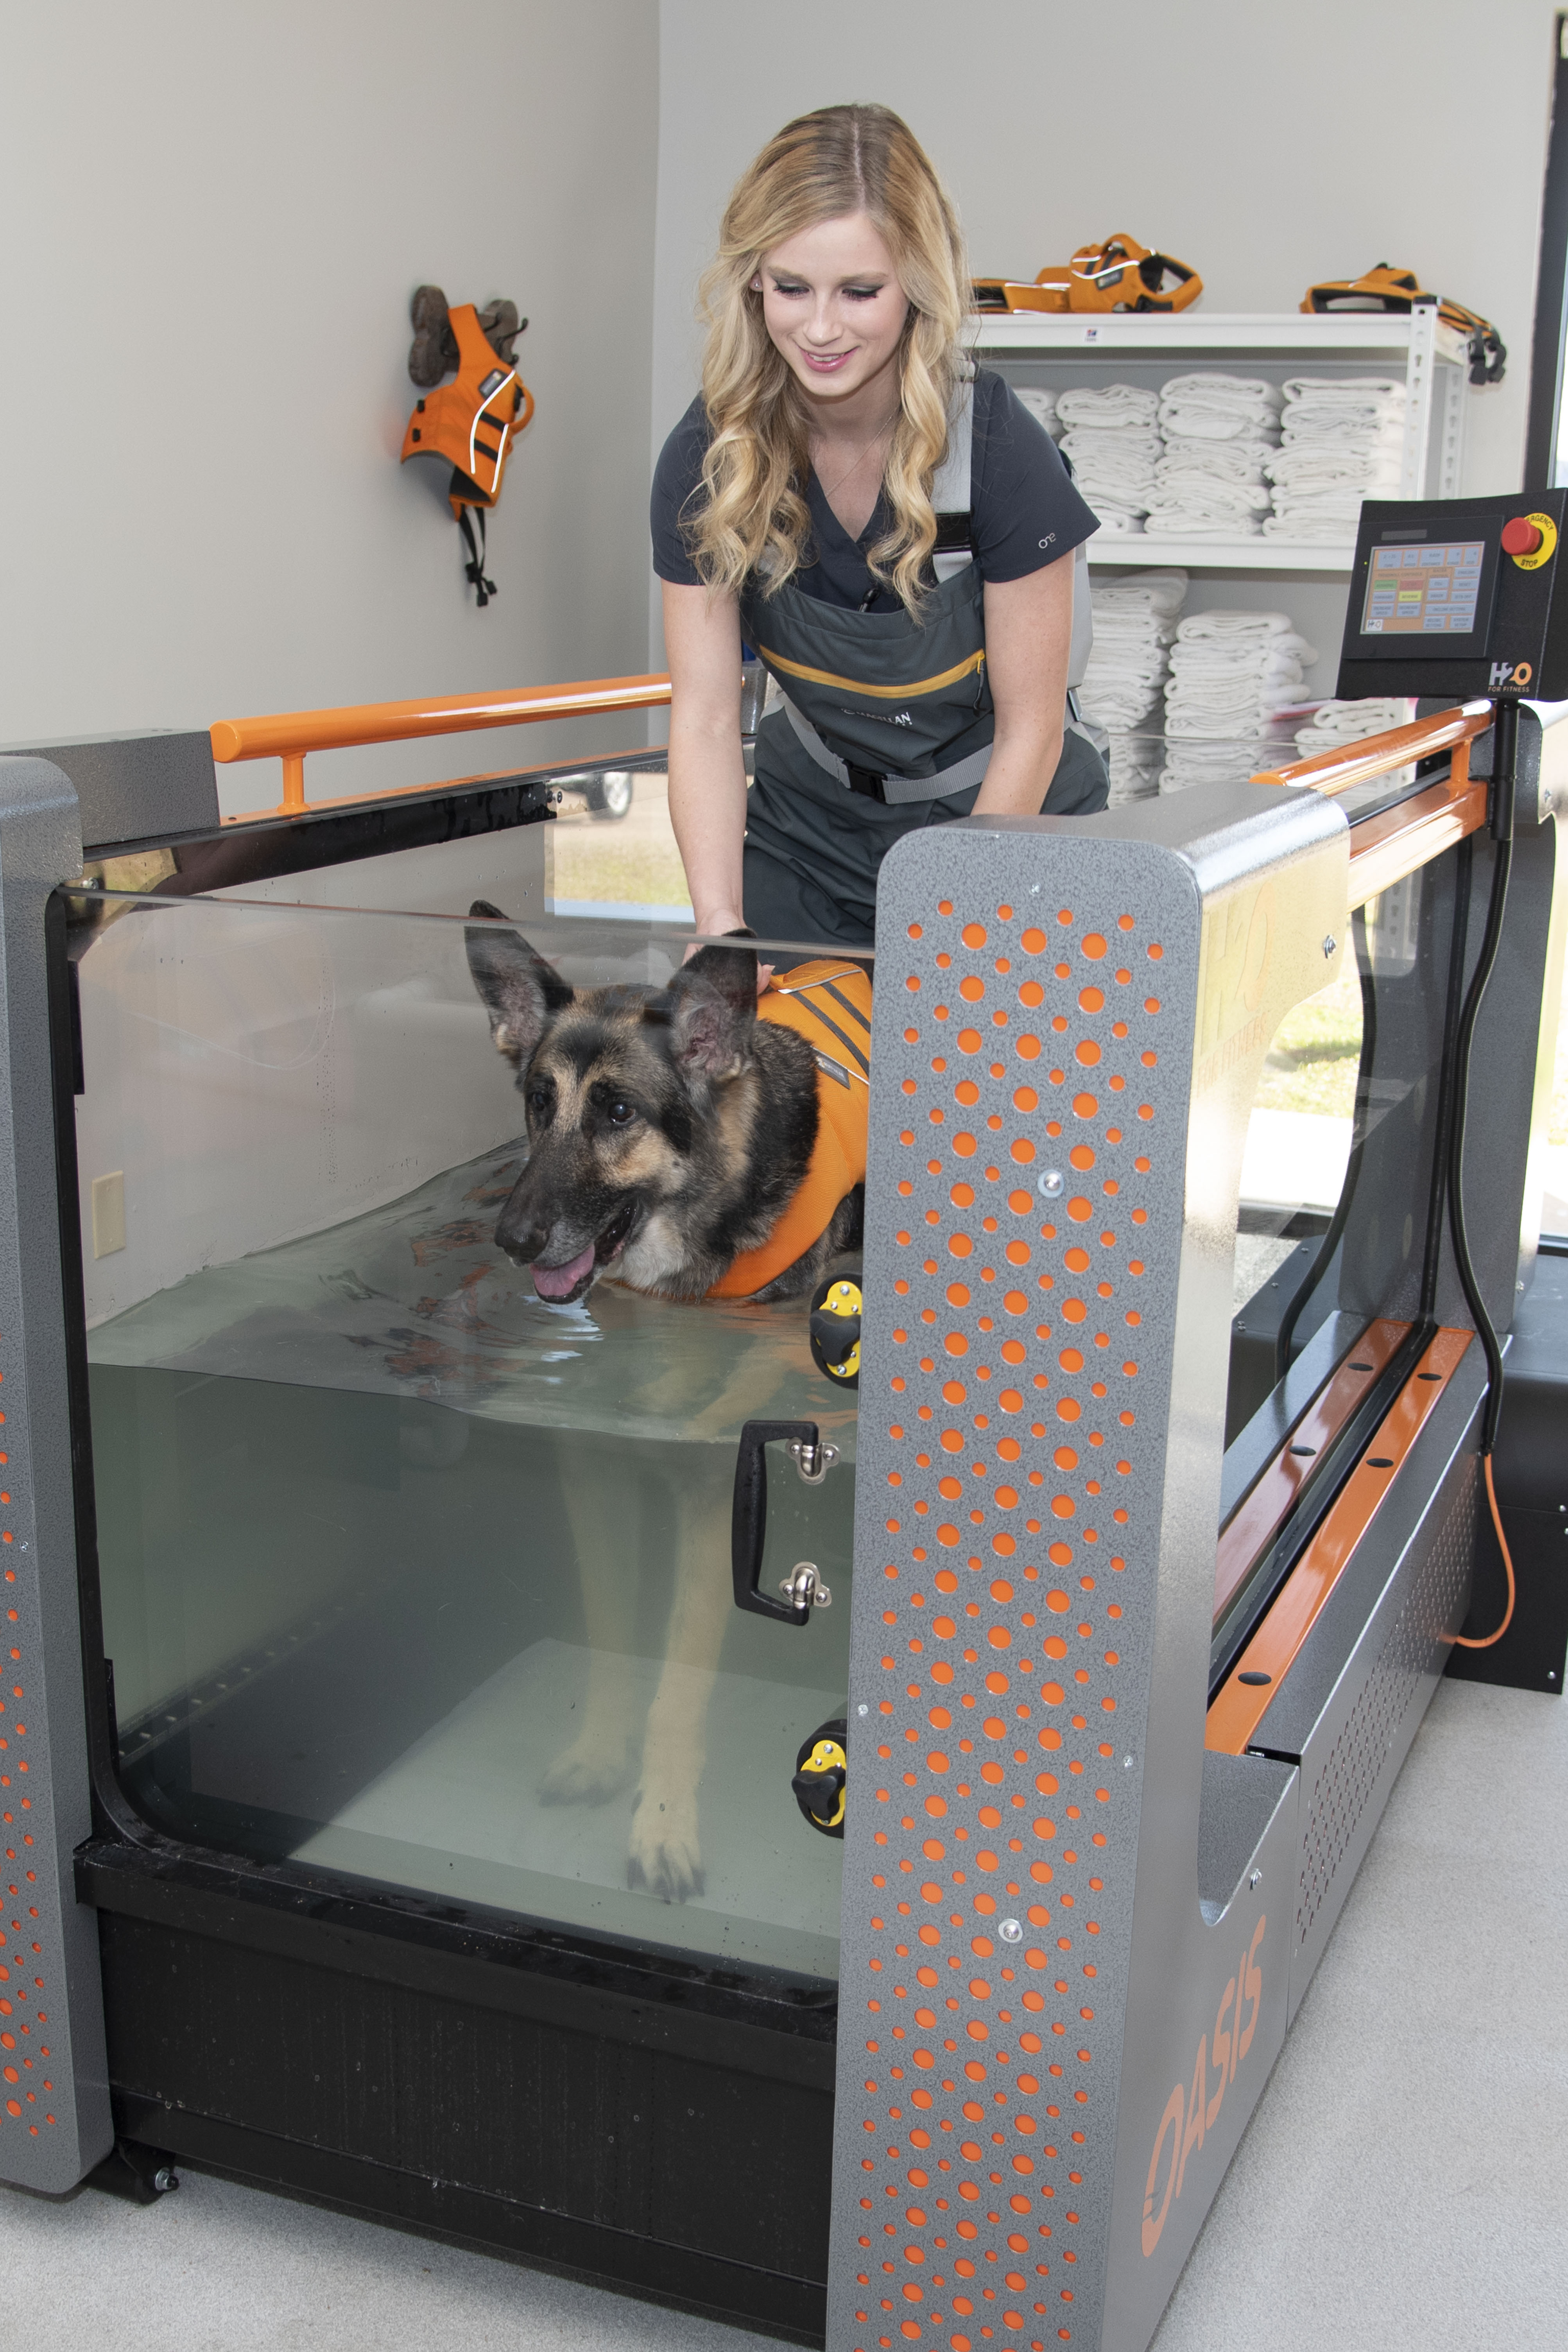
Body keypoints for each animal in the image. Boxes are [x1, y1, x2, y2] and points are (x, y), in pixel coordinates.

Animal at [461, 908, 865, 1900]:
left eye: (617, 1112)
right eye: (538, 1102)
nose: (513, 1239)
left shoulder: (711, 1499)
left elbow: (678, 1687)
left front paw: (664, 1823)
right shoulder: (594, 1471)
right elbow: (612, 1629)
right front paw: (600, 1752)